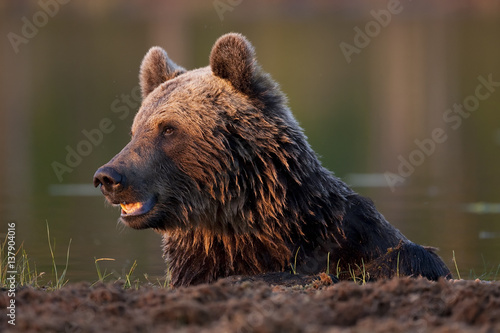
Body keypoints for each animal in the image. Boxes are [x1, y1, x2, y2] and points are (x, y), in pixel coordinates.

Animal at [92, 32, 452, 286]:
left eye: (168, 128)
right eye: (135, 129)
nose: (109, 176)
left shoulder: (358, 239)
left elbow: (404, 258)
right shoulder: (198, 265)